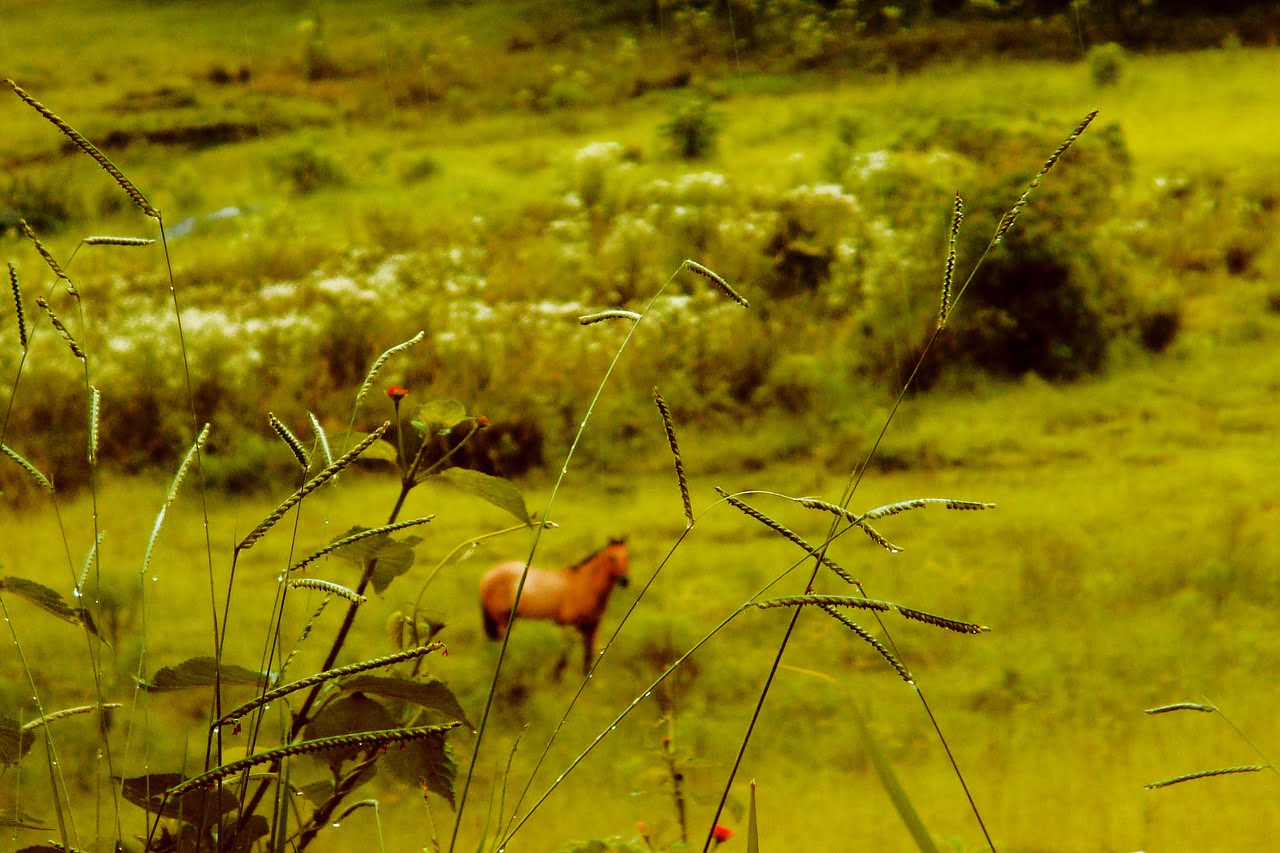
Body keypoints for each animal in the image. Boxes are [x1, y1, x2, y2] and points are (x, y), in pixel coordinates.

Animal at [479, 538, 630, 677]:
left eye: (628, 556)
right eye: (611, 558)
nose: (625, 581)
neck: (584, 586)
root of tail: (488, 576)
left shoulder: (592, 628)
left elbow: (588, 655)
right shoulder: (569, 628)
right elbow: (564, 656)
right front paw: (556, 678)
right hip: (501, 621)